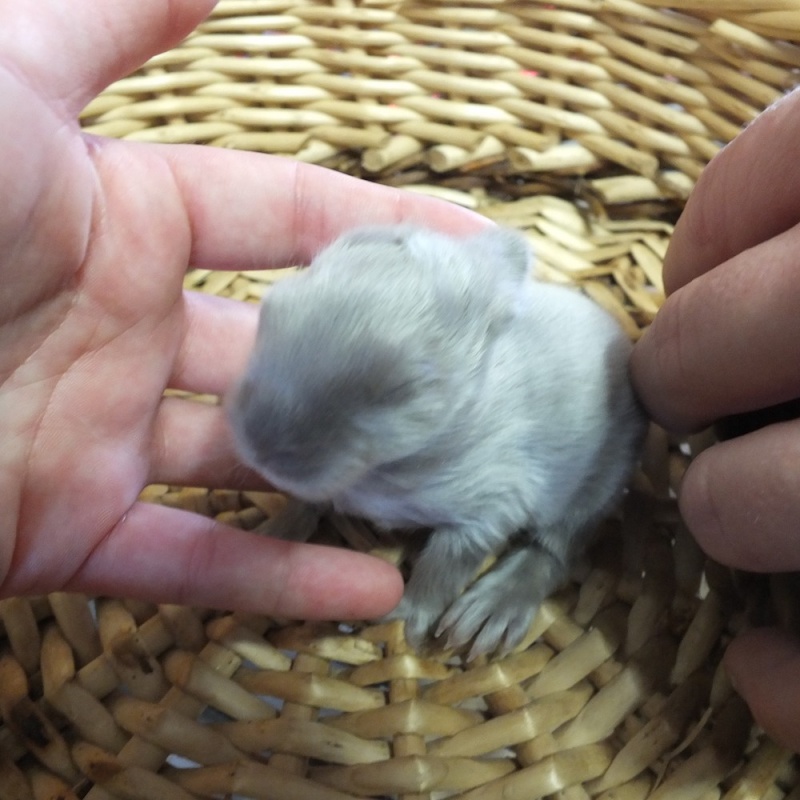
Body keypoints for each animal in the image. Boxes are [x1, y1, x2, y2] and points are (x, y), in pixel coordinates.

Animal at [225, 223, 644, 656]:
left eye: (405, 388)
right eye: (270, 314)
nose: (260, 448)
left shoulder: (490, 503)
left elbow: (442, 567)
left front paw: (405, 619)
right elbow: (306, 503)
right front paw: (270, 534)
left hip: (597, 485)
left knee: (555, 550)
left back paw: (494, 609)